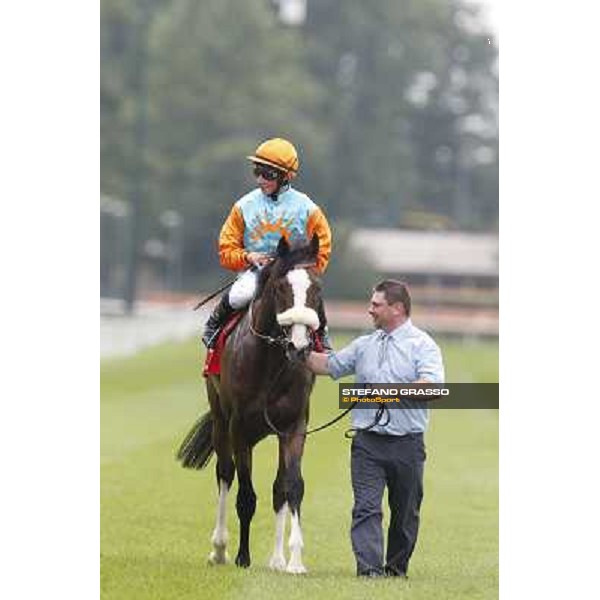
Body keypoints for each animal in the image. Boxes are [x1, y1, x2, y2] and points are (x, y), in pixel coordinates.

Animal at [178, 233, 324, 572]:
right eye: (281, 288)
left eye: (317, 289)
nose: (300, 346)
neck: (272, 362)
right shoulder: (239, 427)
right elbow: (245, 494)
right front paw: (242, 556)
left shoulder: (294, 426)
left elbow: (291, 486)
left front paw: (293, 559)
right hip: (221, 422)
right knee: (225, 474)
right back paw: (219, 550)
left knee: (277, 489)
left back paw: (277, 559)